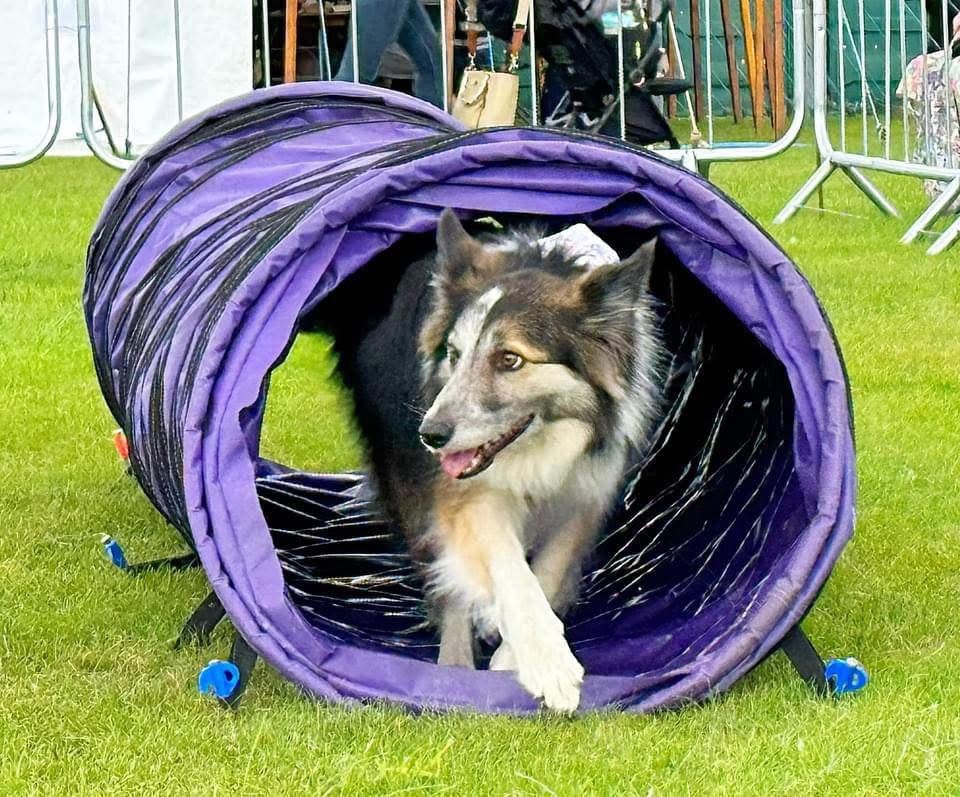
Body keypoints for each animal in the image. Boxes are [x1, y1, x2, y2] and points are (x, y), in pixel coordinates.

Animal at [320, 210, 660, 708]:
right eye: (454, 354)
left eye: (510, 360)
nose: (430, 436)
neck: (541, 444)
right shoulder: (466, 494)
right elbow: (511, 573)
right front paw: (547, 662)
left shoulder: (584, 492)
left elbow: (548, 573)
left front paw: (511, 658)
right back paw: (455, 666)